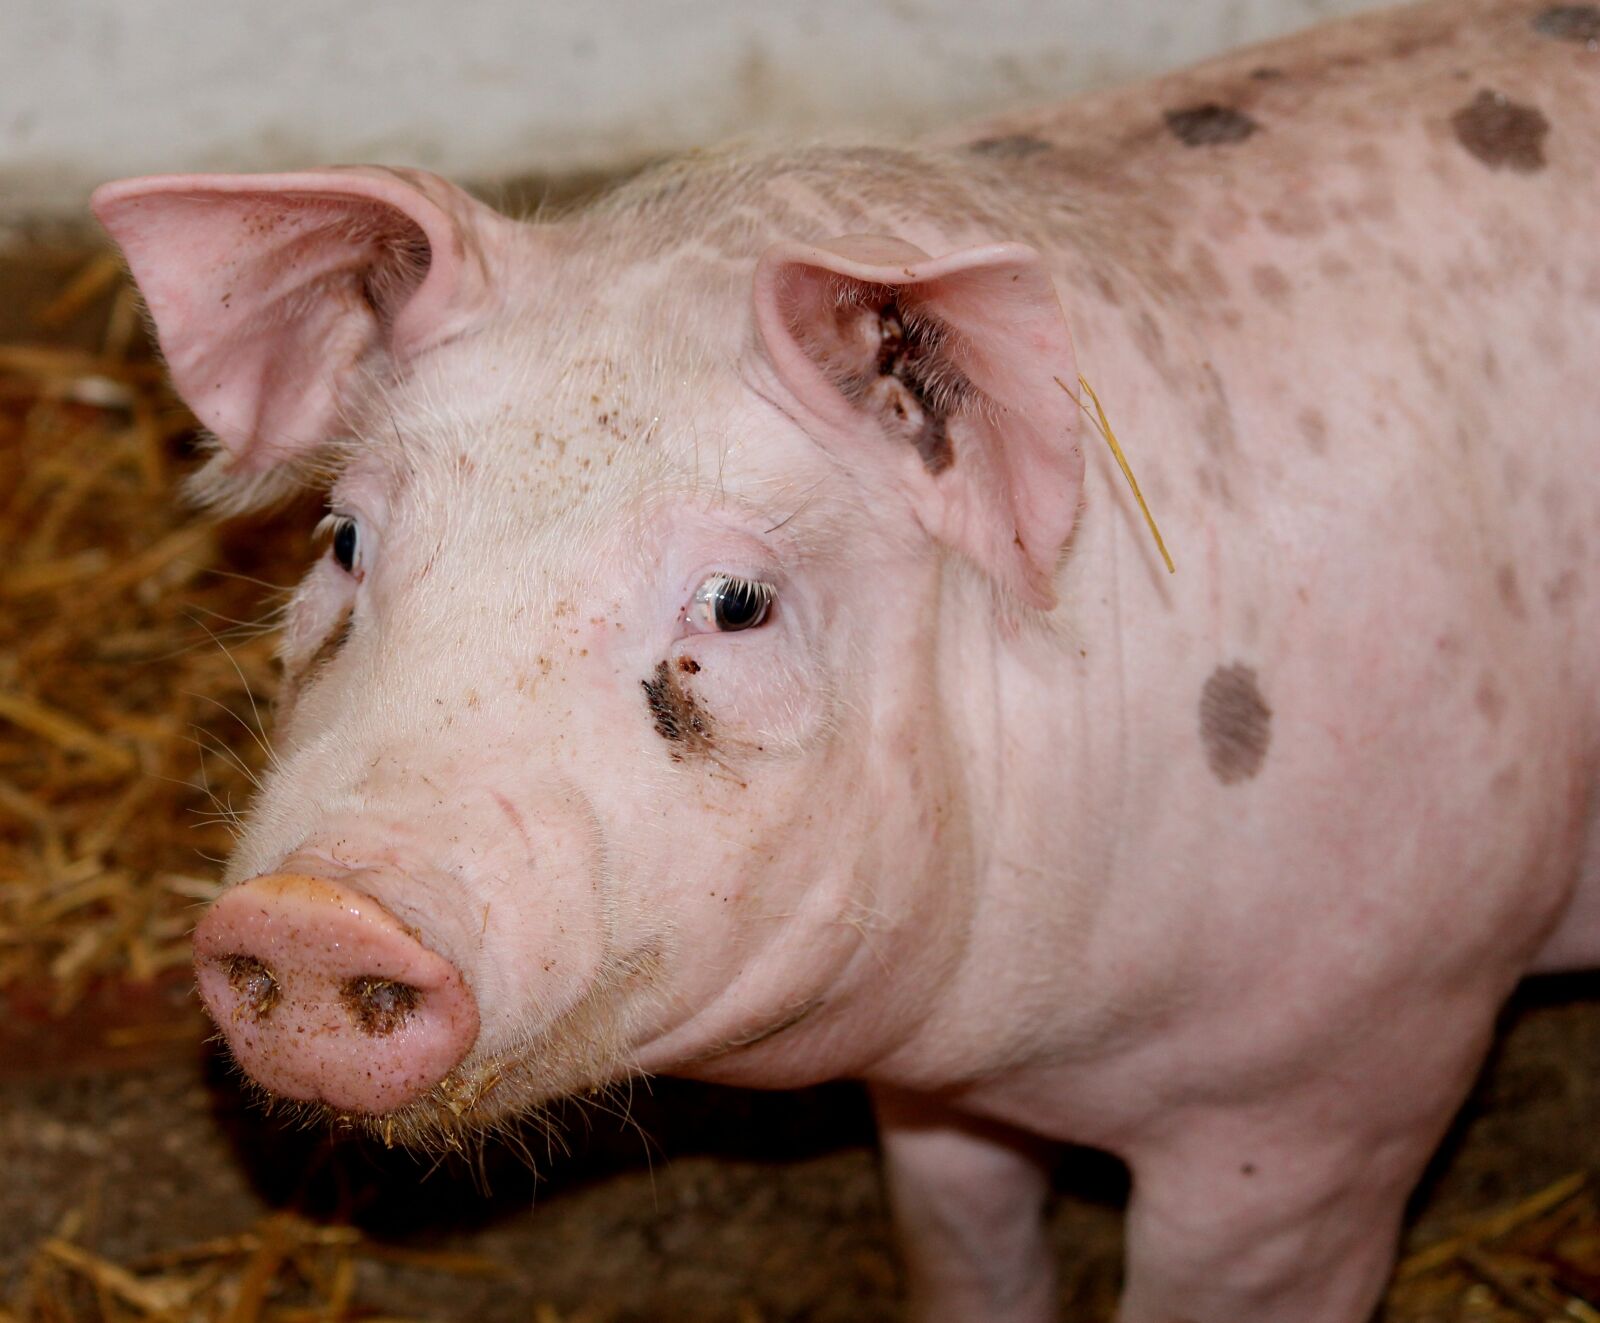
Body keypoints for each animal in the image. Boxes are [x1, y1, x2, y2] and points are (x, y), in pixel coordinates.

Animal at [92, 0, 1599, 1318]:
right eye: (346, 538)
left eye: (737, 603)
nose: (315, 910)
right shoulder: (944, 1103)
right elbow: (963, 1242)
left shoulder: (1338, 1086)